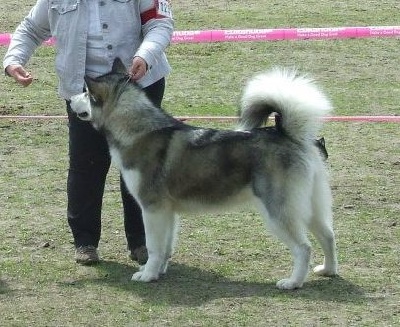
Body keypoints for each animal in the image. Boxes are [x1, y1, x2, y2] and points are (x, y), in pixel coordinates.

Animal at [71, 58, 338, 290]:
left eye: (85, 93)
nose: (70, 98)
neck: (137, 130)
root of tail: (287, 135)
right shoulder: (167, 211)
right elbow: (166, 247)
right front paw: (159, 271)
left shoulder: (152, 208)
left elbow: (154, 247)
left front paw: (147, 274)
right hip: (309, 206)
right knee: (328, 235)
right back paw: (328, 270)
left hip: (278, 211)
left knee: (303, 247)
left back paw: (293, 282)